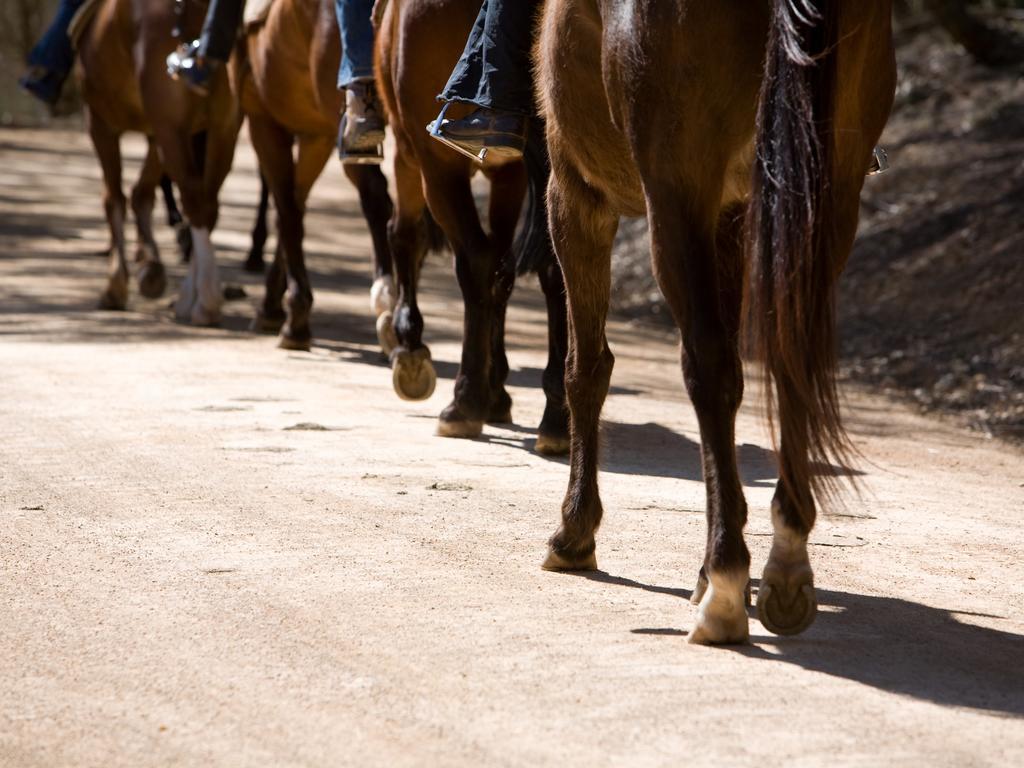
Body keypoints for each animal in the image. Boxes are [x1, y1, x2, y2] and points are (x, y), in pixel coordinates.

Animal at [77, 0, 241, 323]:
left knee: (194, 198)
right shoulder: (162, 134)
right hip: (222, 131)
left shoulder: (100, 121)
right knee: (208, 203)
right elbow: (142, 193)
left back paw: (205, 300)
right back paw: (190, 297)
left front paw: (117, 285)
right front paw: (150, 269)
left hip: (171, 128)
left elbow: (113, 197)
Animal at [235, 0, 395, 352]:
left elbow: (287, 210)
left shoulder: (263, 121)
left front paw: (293, 317)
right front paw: (274, 305)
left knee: (375, 194)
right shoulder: (315, 136)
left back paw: (388, 306)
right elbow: (294, 206)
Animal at [376, 0, 573, 454]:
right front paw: (497, 391)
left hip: (435, 165)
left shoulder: (413, 155)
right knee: (552, 269)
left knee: (473, 261)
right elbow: (504, 273)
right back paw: (555, 416)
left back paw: (463, 403)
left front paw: (410, 347)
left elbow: (407, 236)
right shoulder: (510, 175)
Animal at [536, 0, 897, 643]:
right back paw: (782, 566)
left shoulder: (574, 193)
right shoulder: (733, 214)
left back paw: (726, 587)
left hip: (675, 197)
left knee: (709, 368)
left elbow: (586, 370)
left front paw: (574, 532)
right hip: (826, 201)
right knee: (792, 361)